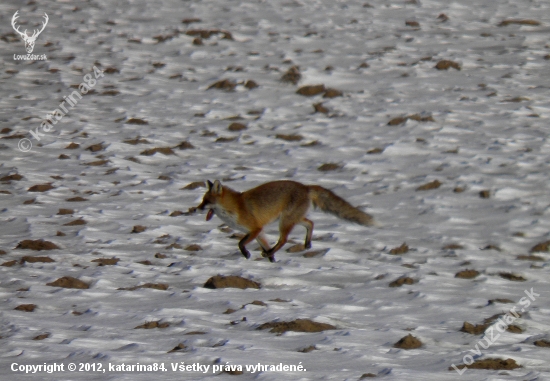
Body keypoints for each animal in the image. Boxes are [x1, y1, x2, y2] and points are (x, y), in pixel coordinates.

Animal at [197, 180, 376, 262]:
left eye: (206, 201)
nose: (196, 209)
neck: (235, 207)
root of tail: (305, 187)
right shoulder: (259, 232)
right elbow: (264, 243)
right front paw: (272, 261)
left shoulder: (255, 228)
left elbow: (240, 243)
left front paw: (248, 254)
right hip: (293, 219)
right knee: (310, 223)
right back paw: (306, 244)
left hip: (285, 221)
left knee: (283, 239)